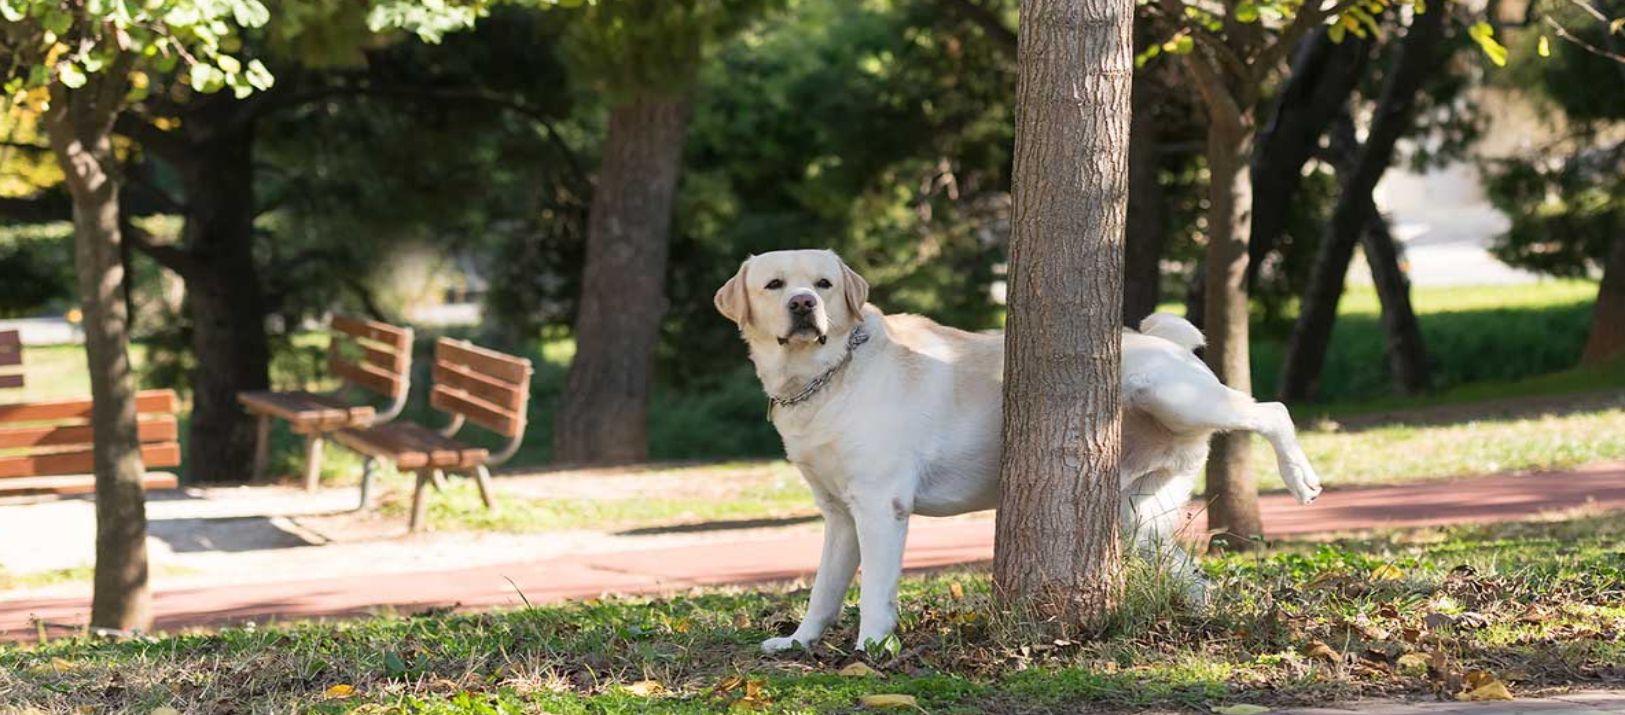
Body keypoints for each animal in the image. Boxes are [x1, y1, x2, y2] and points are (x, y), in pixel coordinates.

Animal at [715, 248, 1319, 650]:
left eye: (822, 284)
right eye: (775, 285)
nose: (802, 304)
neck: (826, 376)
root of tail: (1164, 341)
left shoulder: (881, 508)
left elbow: (874, 592)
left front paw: (872, 649)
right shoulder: (840, 515)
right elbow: (823, 590)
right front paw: (798, 642)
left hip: (1176, 397)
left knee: (1271, 411)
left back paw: (1301, 477)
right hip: (1137, 515)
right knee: (1190, 575)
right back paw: (1201, 619)